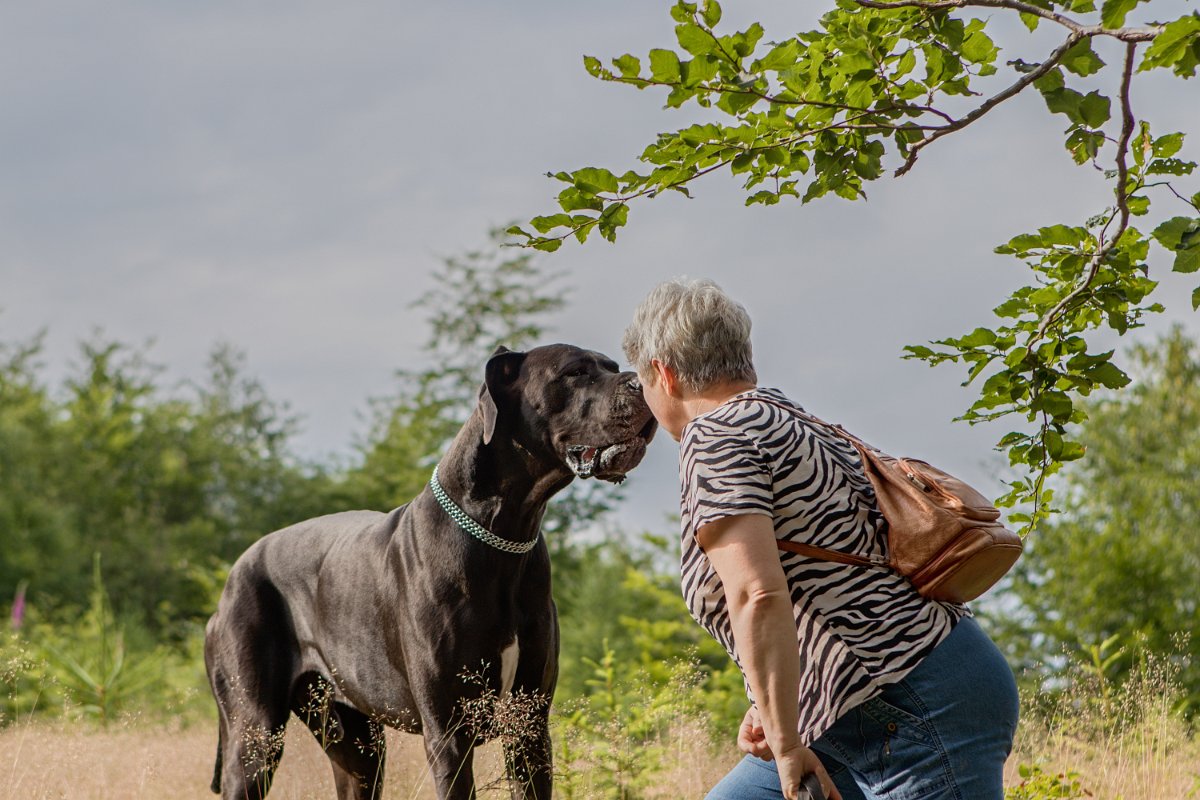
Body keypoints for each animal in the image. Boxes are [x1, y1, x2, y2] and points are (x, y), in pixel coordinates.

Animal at [204, 345, 657, 800]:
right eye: (574, 372)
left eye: (613, 367)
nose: (641, 382)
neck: (503, 534)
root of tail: (227, 588)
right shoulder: (449, 733)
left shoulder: (529, 725)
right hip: (253, 736)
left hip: (358, 746)